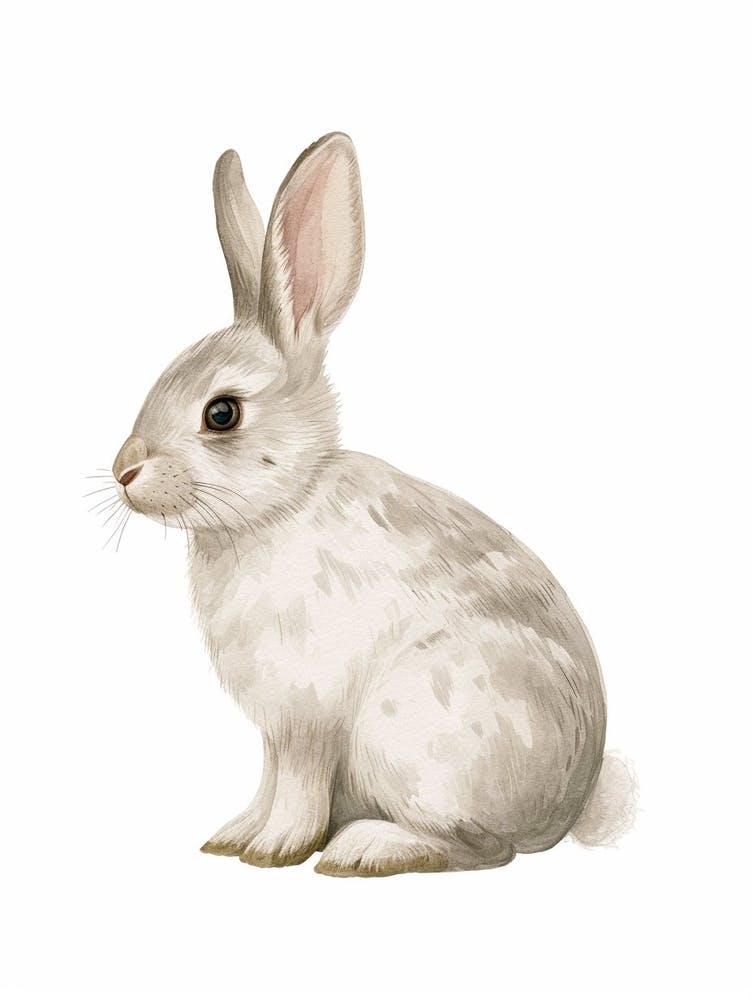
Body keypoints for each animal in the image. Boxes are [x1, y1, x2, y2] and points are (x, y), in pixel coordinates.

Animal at [110, 132, 633, 876]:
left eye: (221, 413)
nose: (123, 471)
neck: (279, 507)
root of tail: (564, 810)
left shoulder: (307, 716)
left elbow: (297, 786)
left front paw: (274, 848)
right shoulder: (275, 727)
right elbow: (268, 780)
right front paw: (234, 836)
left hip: (417, 730)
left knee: (483, 848)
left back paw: (362, 848)